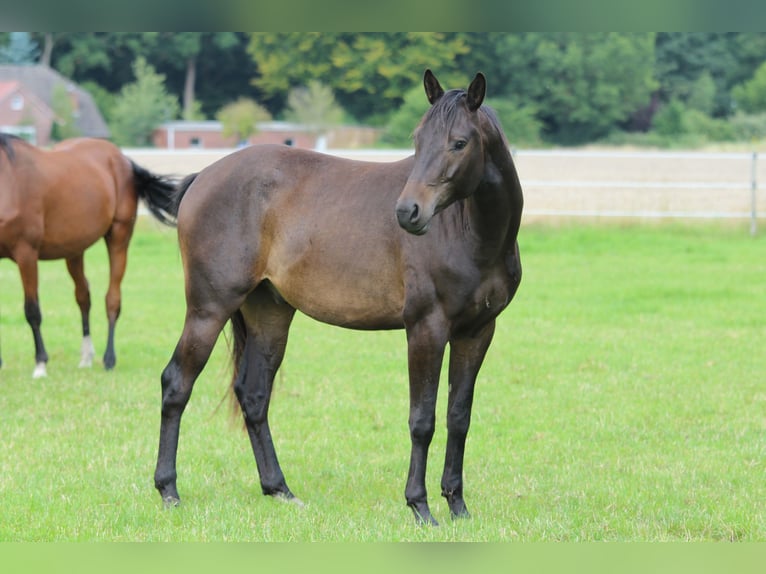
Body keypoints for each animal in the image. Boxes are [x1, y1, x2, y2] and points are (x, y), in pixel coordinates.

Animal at [0, 135, 177, 378]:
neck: (8, 180)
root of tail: (124, 160)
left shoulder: (26, 253)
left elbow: (32, 310)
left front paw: (40, 364)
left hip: (119, 237)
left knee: (112, 299)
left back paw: (109, 358)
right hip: (74, 251)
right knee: (83, 297)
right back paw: (86, 357)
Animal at [153, 70, 523, 525]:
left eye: (459, 142)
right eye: (418, 139)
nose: (408, 212)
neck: (470, 232)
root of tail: (201, 179)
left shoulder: (477, 332)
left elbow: (459, 417)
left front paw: (457, 505)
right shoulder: (426, 329)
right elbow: (422, 419)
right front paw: (419, 506)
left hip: (269, 313)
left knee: (254, 395)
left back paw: (280, 490)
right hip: (208, 309)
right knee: (176, 383)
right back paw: (169, 490)